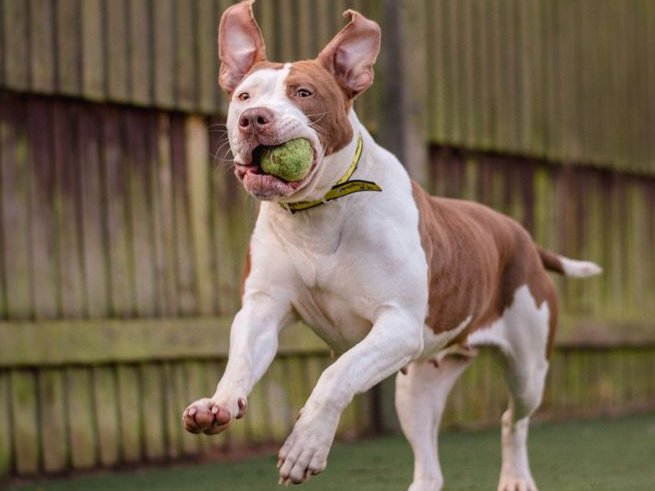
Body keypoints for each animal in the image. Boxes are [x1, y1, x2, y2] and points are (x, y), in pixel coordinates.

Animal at [182, 1, 604, 490]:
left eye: (304, 93)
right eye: (244, 97)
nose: (254, 119)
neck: (317, 213)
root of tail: (524, 238)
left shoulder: (398, 326)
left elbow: (334, 375)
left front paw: (306, 445)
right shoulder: (263, 309)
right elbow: (242, 360)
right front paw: (218, 402)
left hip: (527, 371)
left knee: (511, 420)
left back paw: (516, 476)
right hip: (417, 386)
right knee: (429, 459)